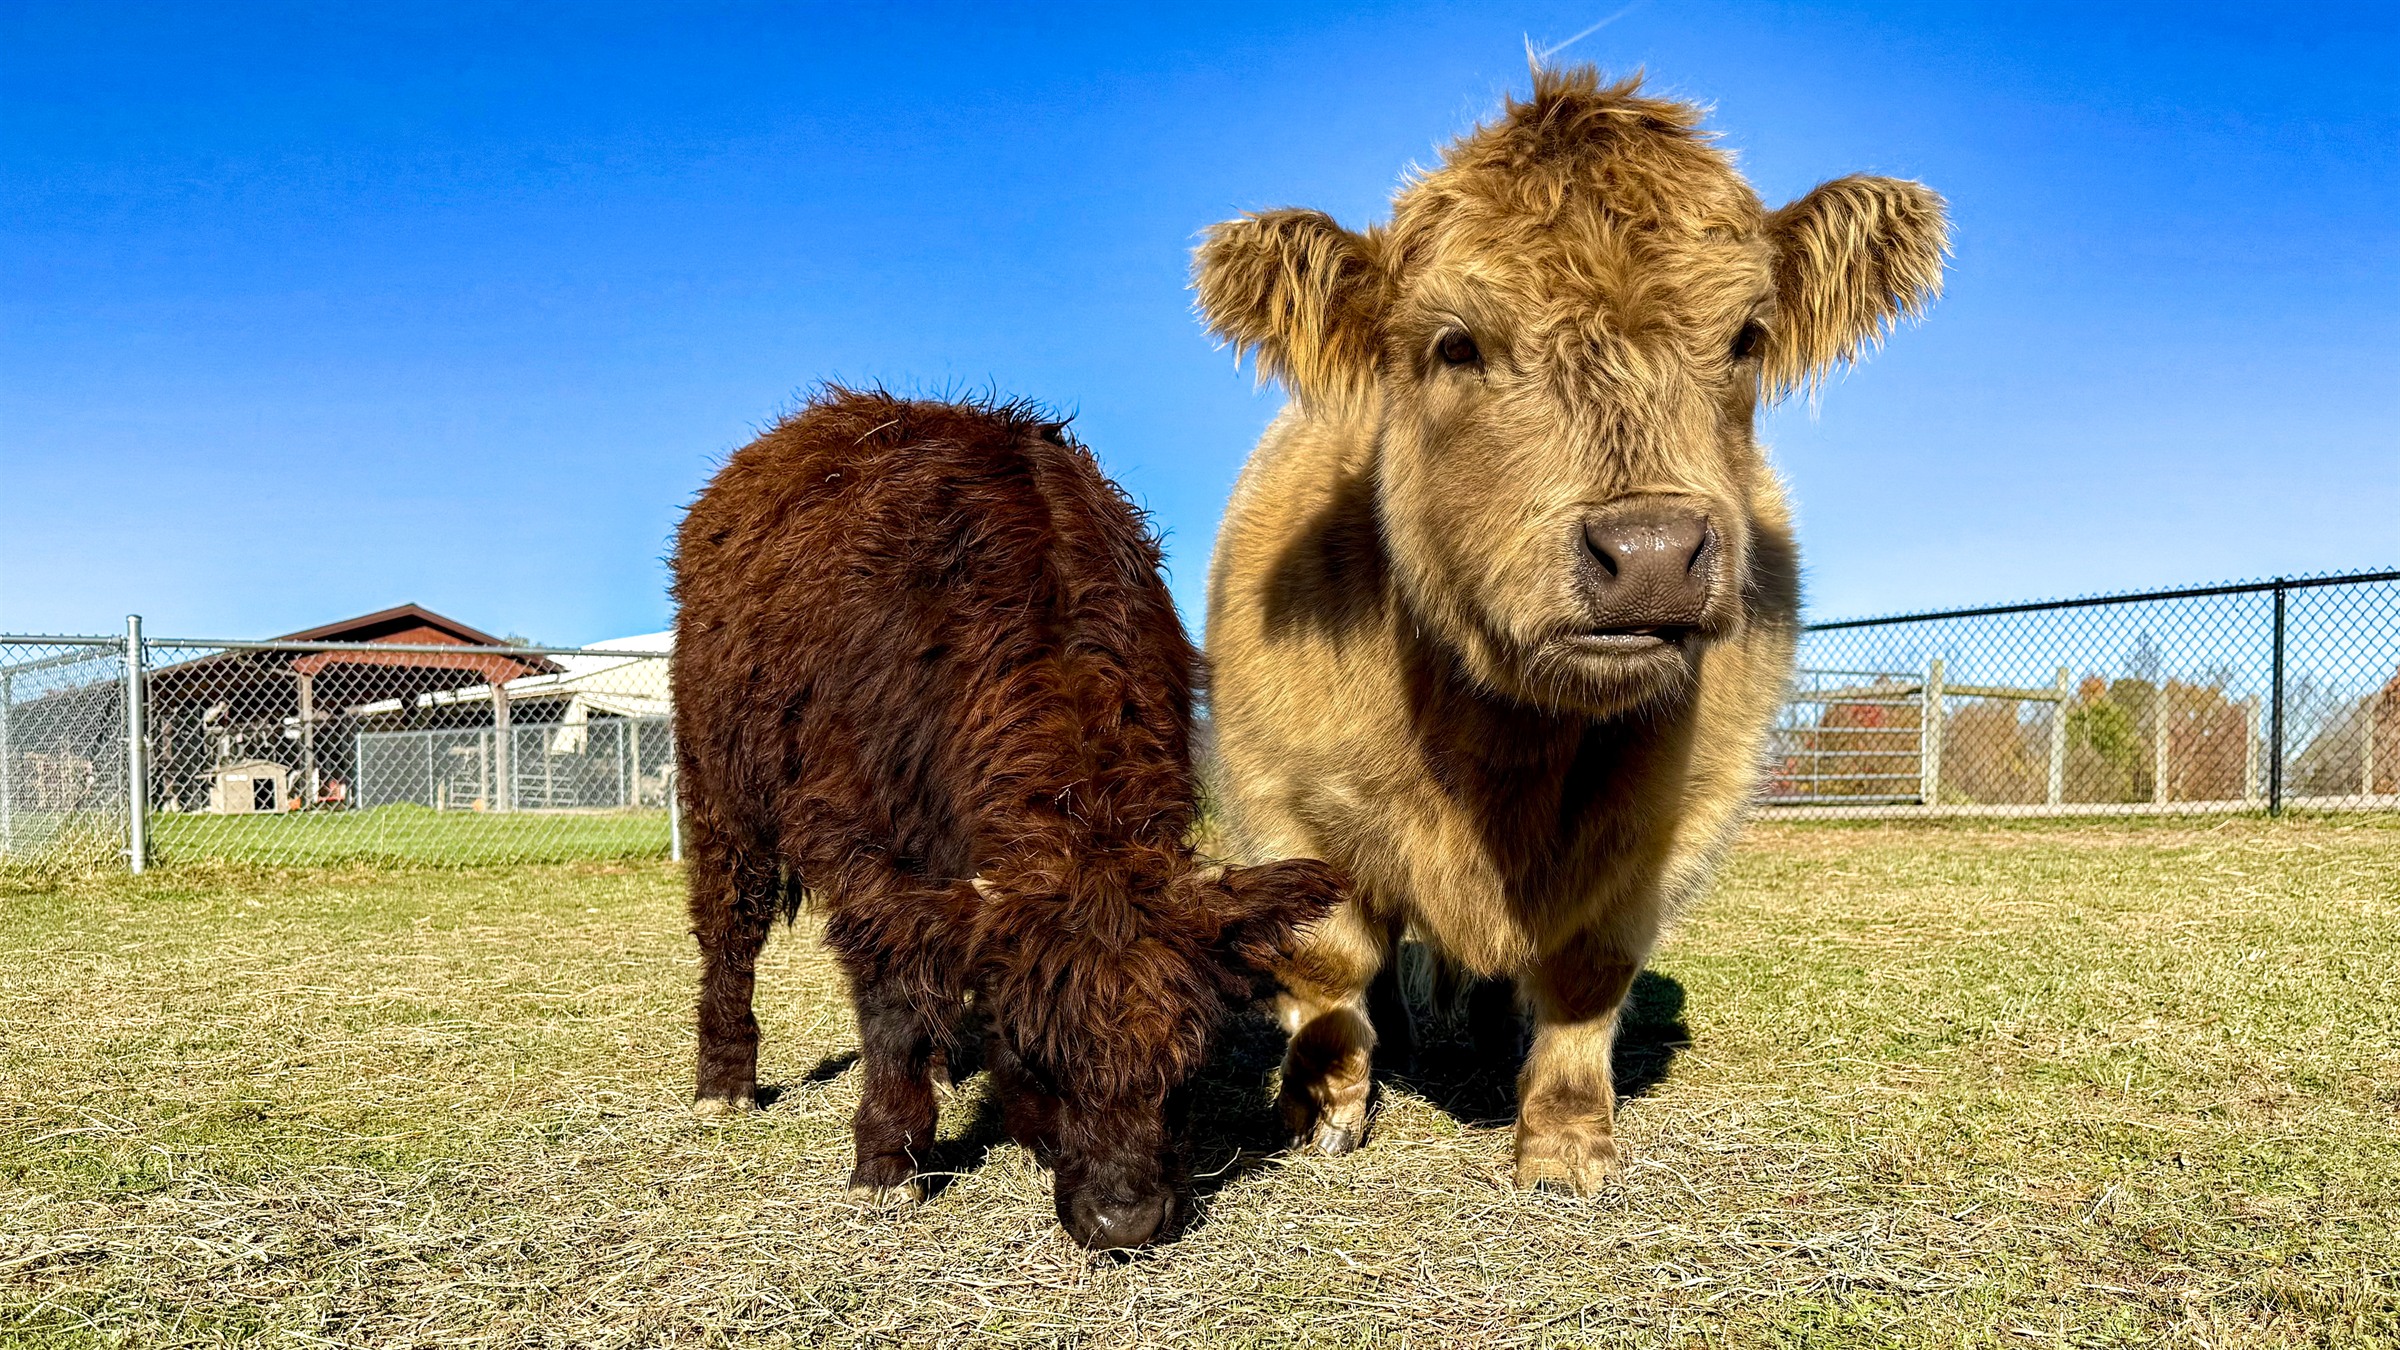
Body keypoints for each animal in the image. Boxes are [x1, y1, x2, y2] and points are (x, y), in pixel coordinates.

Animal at [671, 390, 1342, 1249]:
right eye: (1037, 1057)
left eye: (1185, 1066)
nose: (1123, 1220)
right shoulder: (865, 852)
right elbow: (892, 1004)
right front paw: (888, 1162)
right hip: (722, 792)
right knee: (732, 927)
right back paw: (725, 1081)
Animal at [1192, 66, 1948, 1193]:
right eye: (1455, 344)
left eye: (1745, 338)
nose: (1651, 551)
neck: (1504, 748)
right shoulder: (1277, 790)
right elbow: (1329, 963)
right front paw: (1321, 1111)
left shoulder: (1678, 817)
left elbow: (1588, 972)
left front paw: (1562, 1143)